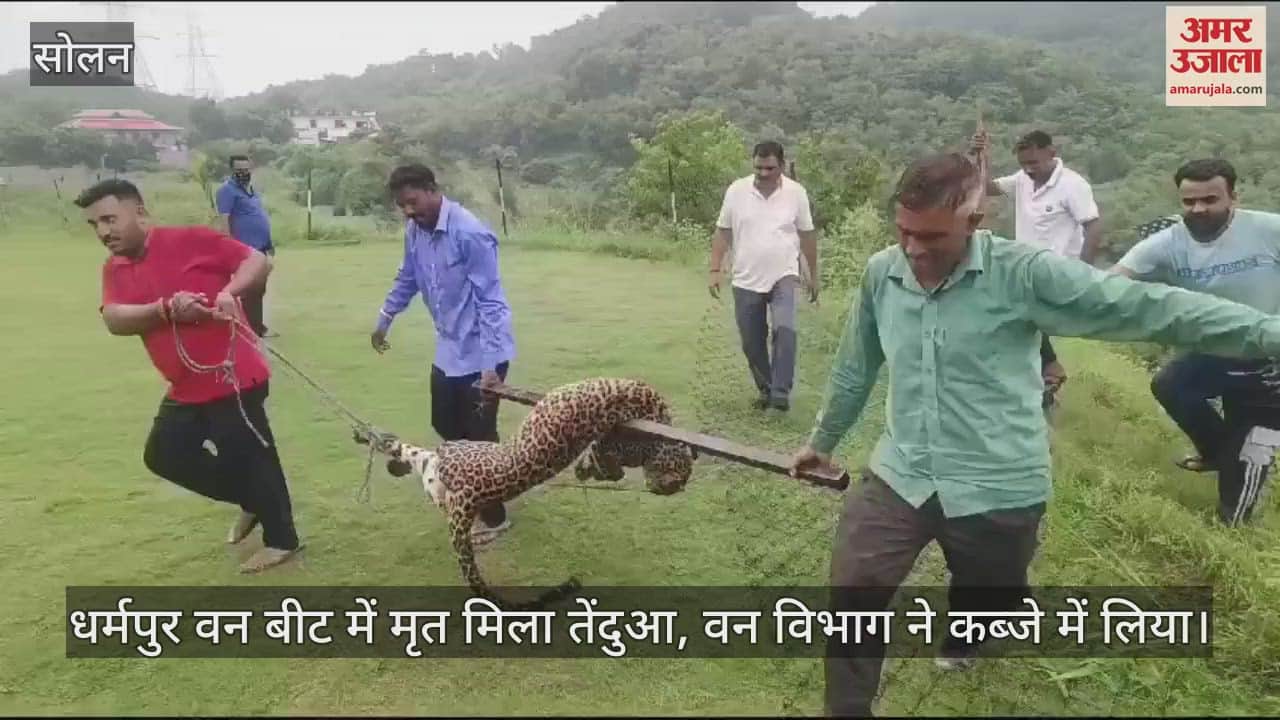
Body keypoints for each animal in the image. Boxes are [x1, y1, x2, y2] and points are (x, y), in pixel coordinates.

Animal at [384, 377, 697, 610]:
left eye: (664, 487)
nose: (655, 488)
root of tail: (466, 500)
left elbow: (604, 458)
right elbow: (604, 461)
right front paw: (593, 469)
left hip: (449, 453)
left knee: (416, 453)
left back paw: (390, 447)